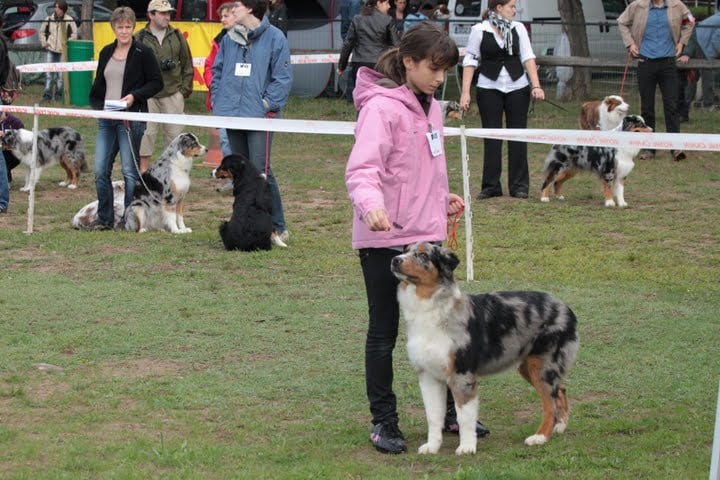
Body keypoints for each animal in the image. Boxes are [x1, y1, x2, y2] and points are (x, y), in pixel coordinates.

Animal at [390, 242, 576, 456]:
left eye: (422, 255)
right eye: (405, 250)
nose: (395, 260)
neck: (429, 307)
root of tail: (566, 307)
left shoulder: (462, 373)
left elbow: (464, 416)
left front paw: (467, 447)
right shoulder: (428, 375)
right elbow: (433, 416)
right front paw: (432, 446)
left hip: (542, 366)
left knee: (550, 403)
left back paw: (540, 437)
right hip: (528, 367)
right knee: (560, 389)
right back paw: (559, 426)